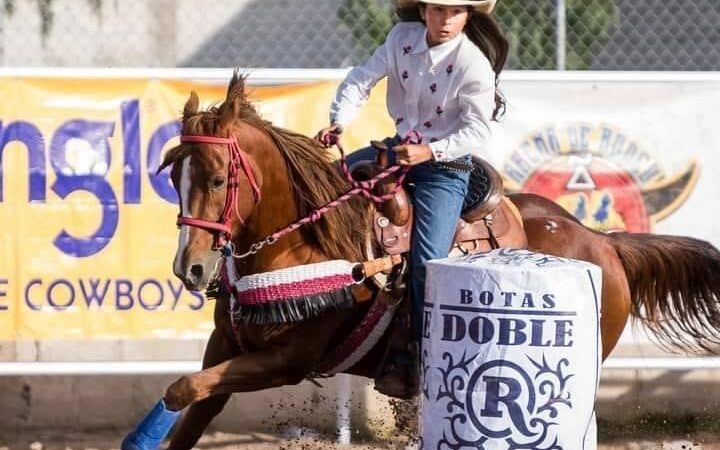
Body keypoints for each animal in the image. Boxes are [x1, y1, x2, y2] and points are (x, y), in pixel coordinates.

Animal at [124, 74, 720, 450]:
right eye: (174, 176)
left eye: (217, 179)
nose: (189, 269)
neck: (305, 244)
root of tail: (603, 242)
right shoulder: (226, 347)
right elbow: (194, 405)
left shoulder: (287, 360)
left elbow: (182, 388)